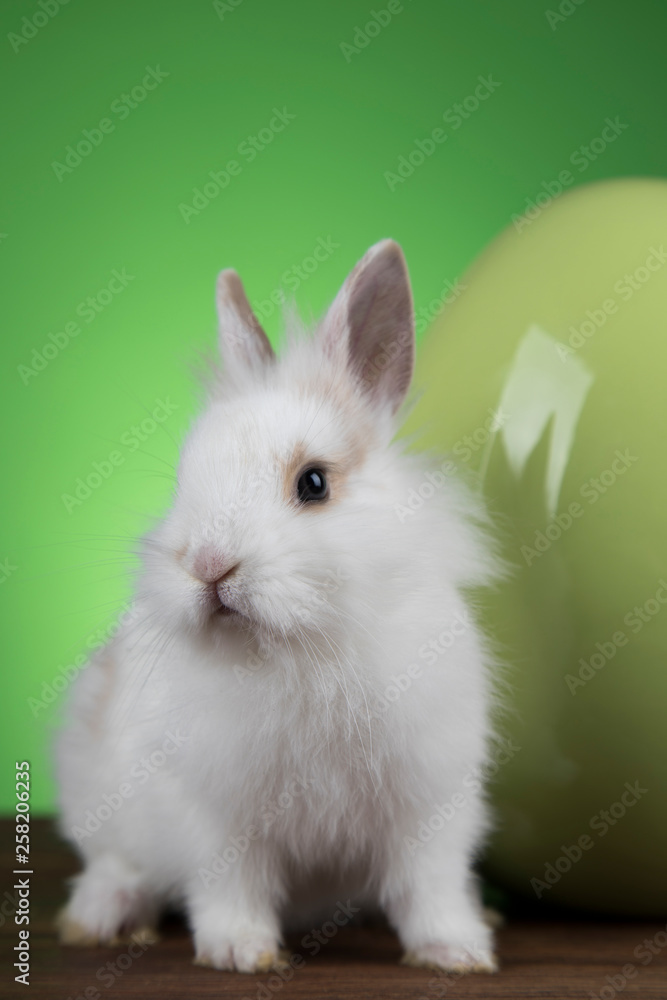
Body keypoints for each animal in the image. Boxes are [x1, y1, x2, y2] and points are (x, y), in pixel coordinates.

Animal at [55, 239, 503, 975]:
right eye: (184, 482)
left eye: (313, 483)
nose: (209, 564)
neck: (296, 648)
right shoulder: (211, 812)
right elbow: (228, 884)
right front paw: (241, 952)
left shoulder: (431, 801)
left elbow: (430, 883)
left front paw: (457, 951)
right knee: (117, 865)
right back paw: (97, 919)